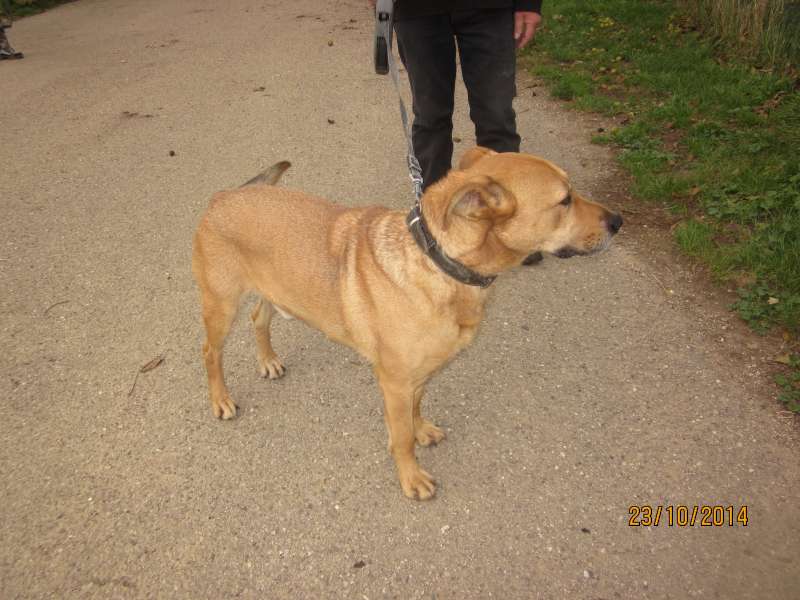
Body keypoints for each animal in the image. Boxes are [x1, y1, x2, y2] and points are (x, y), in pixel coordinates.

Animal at [191, 148, 620, 500]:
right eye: (565, 200)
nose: (618, 220)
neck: (439, 262)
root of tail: (226, 194)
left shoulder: (419, 373)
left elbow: (416, 409)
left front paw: (422, 429)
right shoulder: (395, 381)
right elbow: (400, 437)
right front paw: (411, 477)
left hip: (275, 292)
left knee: (258, 319)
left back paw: (268, 361)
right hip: (221, 306)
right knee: (210, 352)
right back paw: (221, 400)